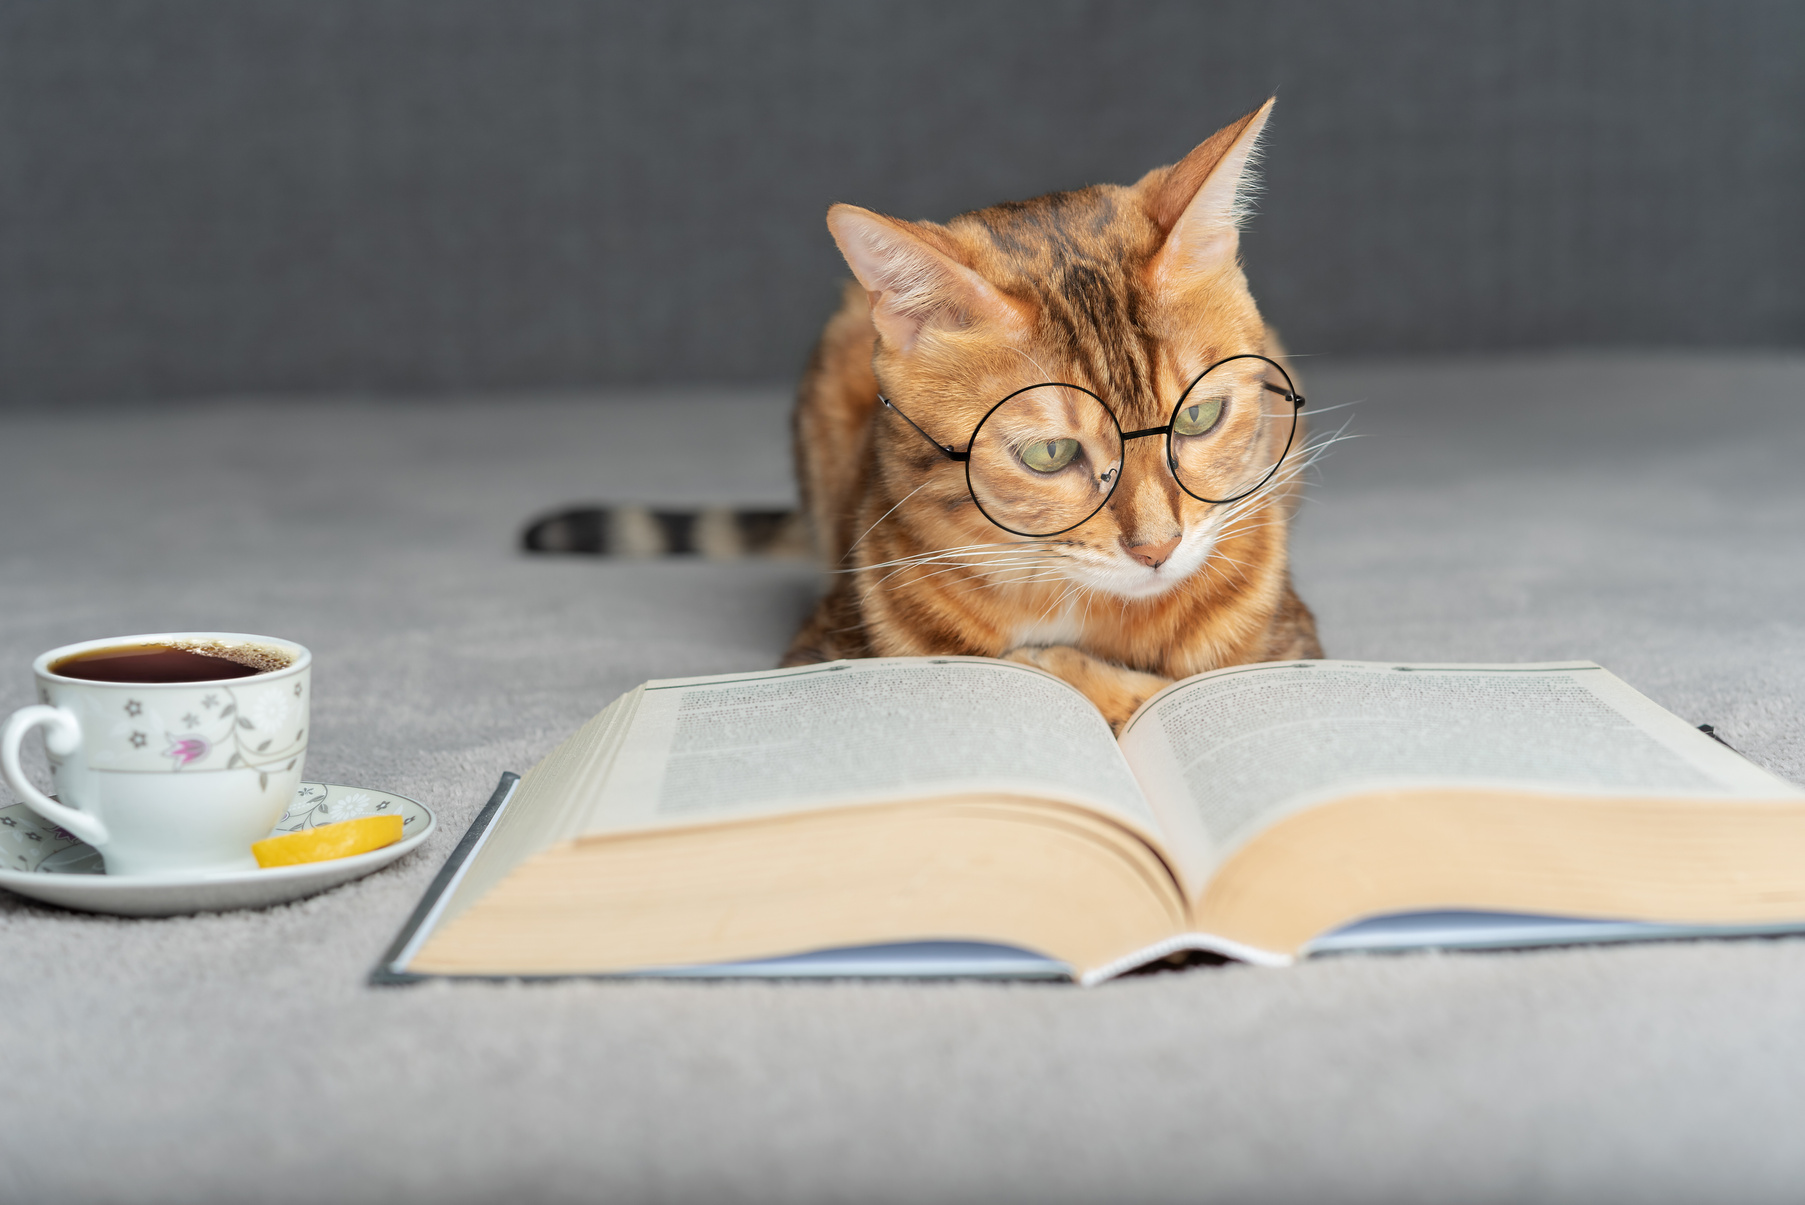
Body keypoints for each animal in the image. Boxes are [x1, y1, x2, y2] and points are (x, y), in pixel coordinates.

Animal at [783, 101, 1321, 725]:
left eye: (1198, 418)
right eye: (1050, 453)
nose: (1158, 550)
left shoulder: (1288, 651)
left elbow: (1161, 689)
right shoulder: (827, 652)